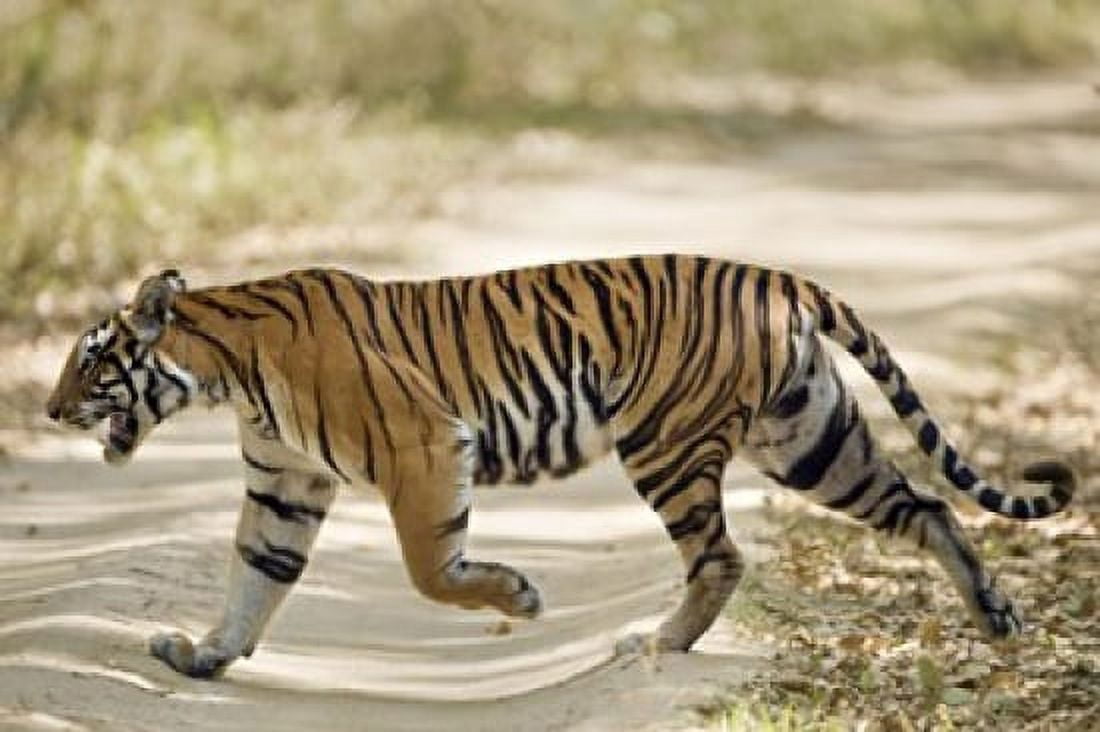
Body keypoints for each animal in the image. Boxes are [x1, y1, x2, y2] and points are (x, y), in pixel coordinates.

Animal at [45, 255, 1074, 679]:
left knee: (722, 556)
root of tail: (774, 275)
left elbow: (429, 570)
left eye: (93, 363)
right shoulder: (283, 486)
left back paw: (657, 644)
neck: (222, 369)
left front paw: (518, 597)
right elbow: (256, 577)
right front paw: (206, 656)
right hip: (809, 437)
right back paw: (997, 616)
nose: (49, 411)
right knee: (924, 505)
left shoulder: (424, 445)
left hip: (666, 441)